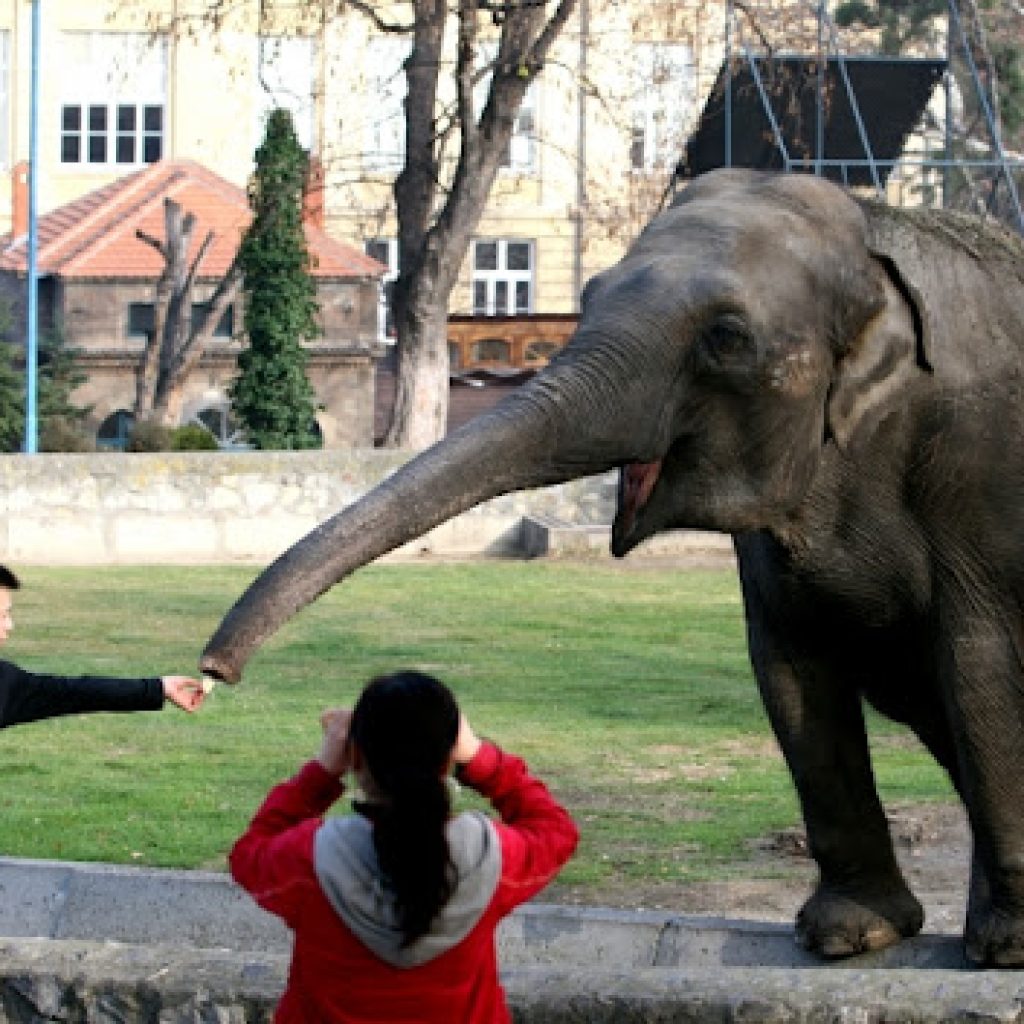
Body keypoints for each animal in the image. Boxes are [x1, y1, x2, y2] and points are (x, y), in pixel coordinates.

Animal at [197, 167, 1024, 966]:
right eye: (590, 295)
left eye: (727, 338)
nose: (211, 672)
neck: (874, 230)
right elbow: (792, 675)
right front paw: (850, 935)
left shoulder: (983, 473)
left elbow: (982, 665)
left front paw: (1006, 949)